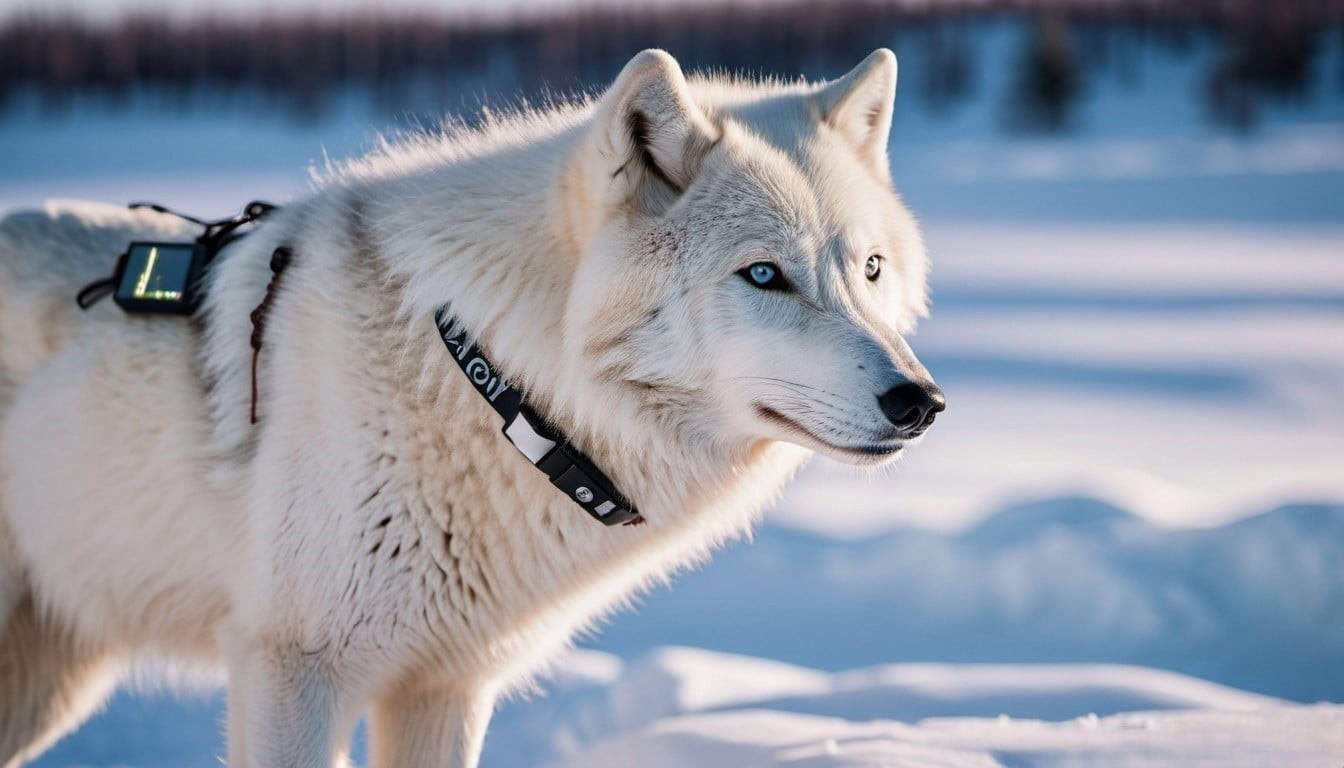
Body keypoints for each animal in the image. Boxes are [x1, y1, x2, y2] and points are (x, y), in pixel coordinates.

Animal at [0, 49, 946, 768]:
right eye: (763, 274)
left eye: (869, 269)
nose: (922, 403)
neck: (494, 382)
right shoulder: (293, 667)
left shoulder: (446, 684)